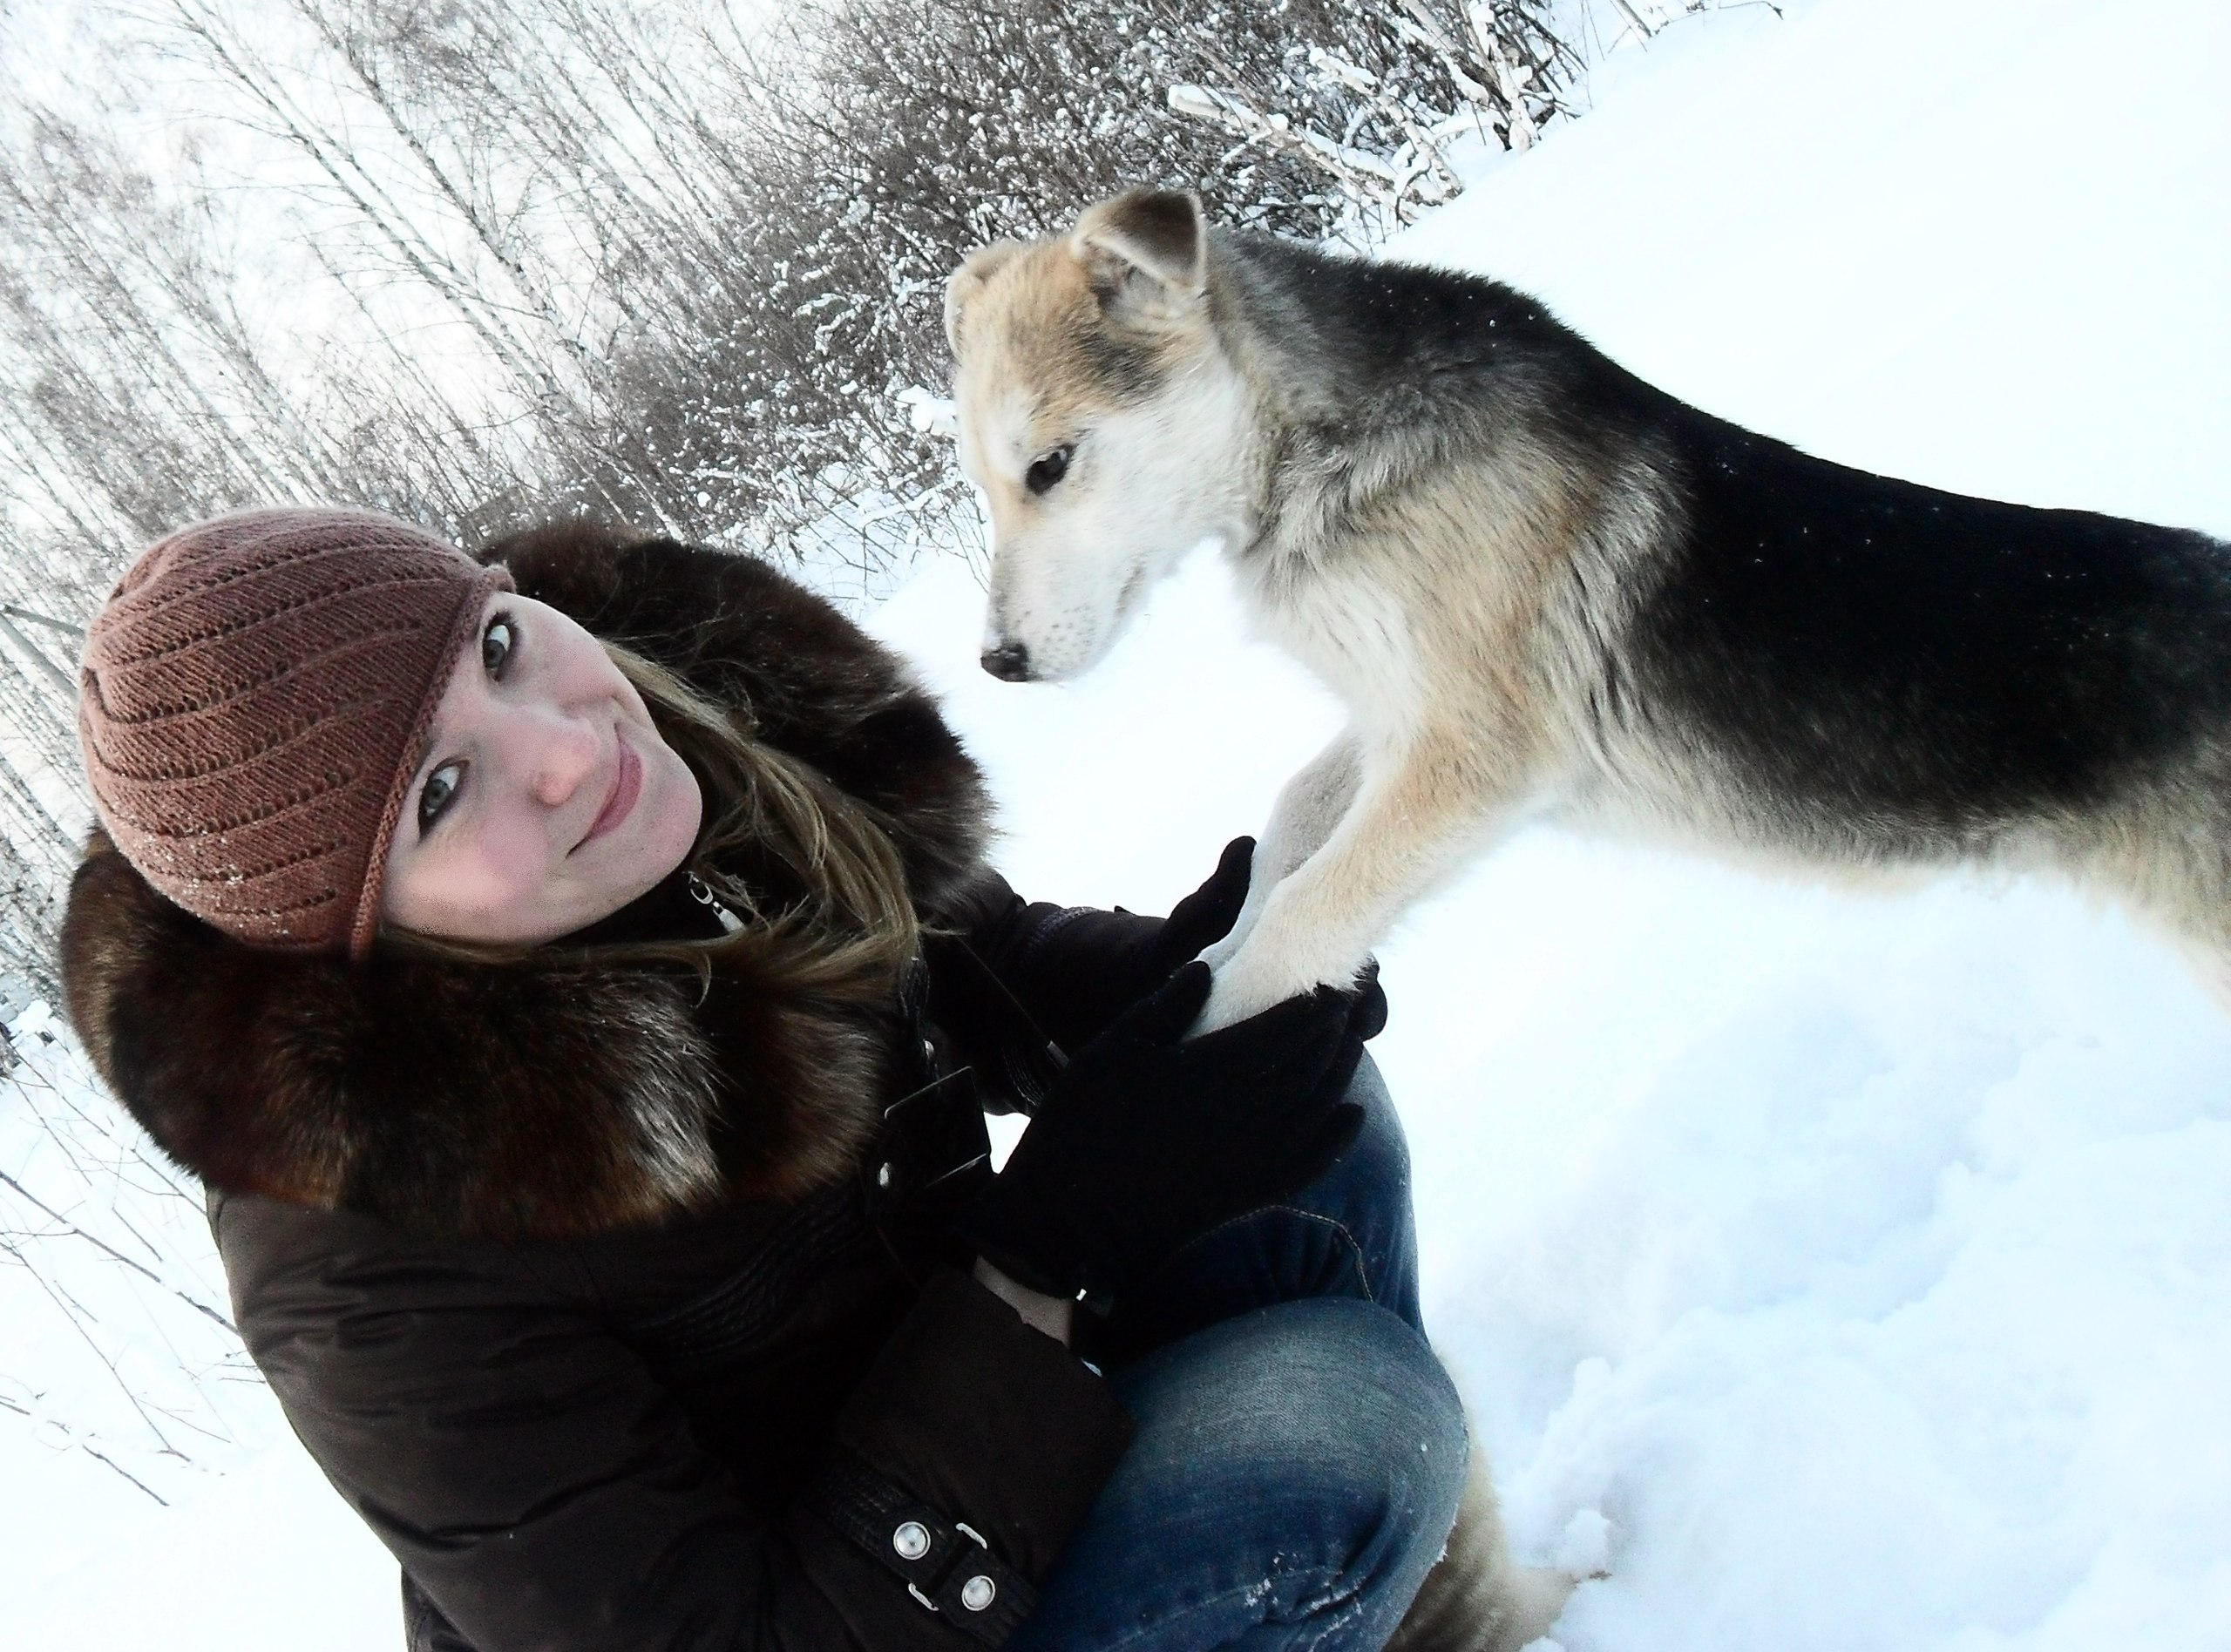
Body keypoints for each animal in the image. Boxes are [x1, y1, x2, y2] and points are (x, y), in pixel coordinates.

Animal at [945, 187, 2231, 1031]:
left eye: (1048, 468)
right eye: (980, 485)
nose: (996, 662)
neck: (1316, 449)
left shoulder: (1470, 757)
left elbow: (1301, 924)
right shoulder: (1398, 713)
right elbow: (1289, 823)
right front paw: (1210, 932)